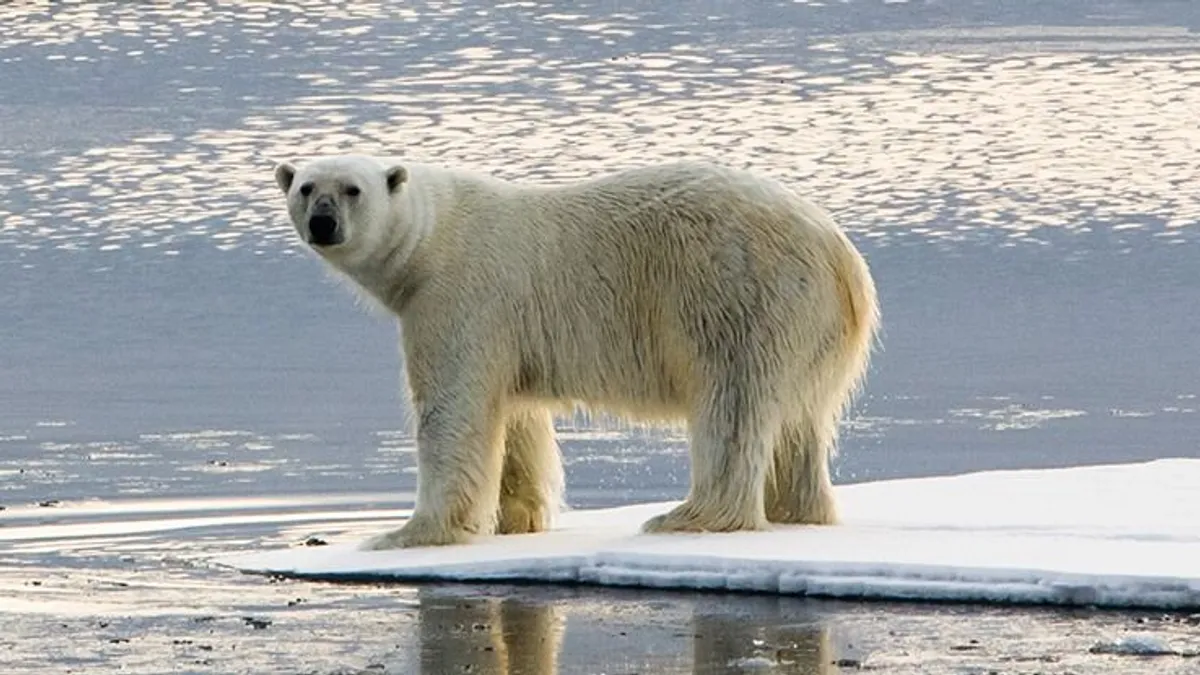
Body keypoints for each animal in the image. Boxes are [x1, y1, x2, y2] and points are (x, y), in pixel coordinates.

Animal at [278, 154, 883, 550]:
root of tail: (842, 258)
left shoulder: (459, 298)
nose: (324, 222)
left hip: (737, 292)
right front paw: (516, 518)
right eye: (305, 187)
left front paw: (407, 533)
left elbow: (452, 412)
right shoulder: (507, 333)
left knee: (731, 403)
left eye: (352, 189)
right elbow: (515, 417)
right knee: (798, 423)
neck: (435, 238)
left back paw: (688, 516)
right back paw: (795, 512)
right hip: (810, 329)